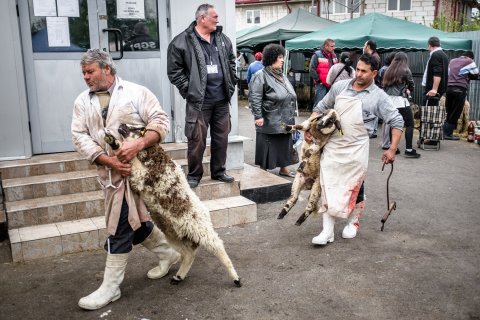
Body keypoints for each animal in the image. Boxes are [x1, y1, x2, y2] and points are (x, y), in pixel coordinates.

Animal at [103, 125, 242, 288]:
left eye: (138, 128)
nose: (121, 126)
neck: (152, 156)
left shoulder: (145, 175)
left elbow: (132, 160)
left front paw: (116, 144)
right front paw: (111, 140)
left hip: (201, 230)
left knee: (218, 247)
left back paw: (236, 278)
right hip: (173, 233)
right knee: (189, 254)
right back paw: (178, 277)